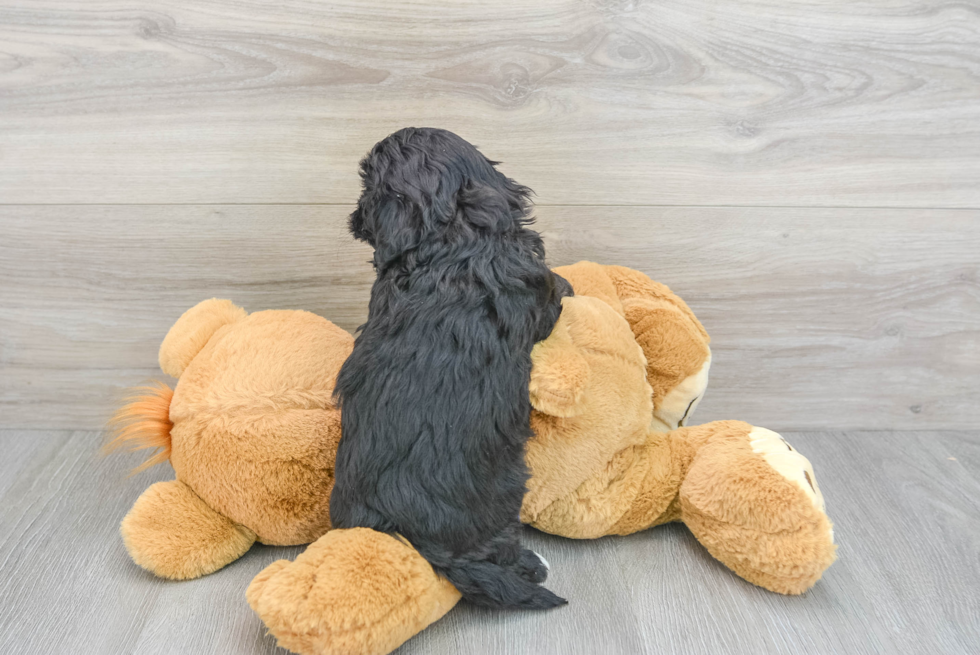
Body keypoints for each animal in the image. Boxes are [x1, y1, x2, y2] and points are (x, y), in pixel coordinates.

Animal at [334, 128, 572, 608]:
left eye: (367, 187)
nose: (353, 216)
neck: (454, 235)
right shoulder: (538, 293)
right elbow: (555, 291)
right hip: (504, 493)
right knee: (498, 551)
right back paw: (532, 564)